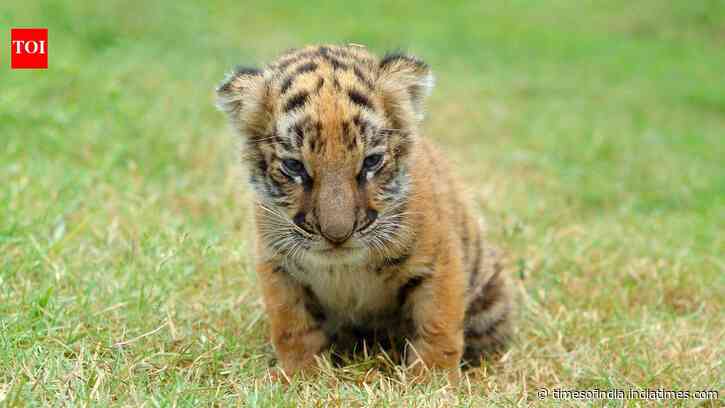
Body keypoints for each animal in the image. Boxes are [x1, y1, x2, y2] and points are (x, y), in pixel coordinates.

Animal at [216, 44, 513, 381]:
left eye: (371, 162)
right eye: (294, 167)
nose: (337, 235)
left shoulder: (439, 261)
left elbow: (437, 324)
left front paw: (431, 381)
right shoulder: (278, 265)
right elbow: (293, 327)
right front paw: (301, 376)